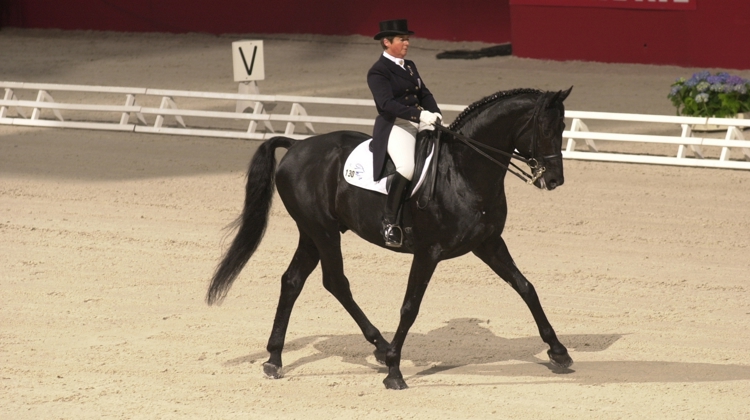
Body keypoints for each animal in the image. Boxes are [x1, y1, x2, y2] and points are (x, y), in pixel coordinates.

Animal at [206, 86, 576, 390]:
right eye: (546, 129)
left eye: (562, 128)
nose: (555, 179)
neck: (462, 171)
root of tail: (297, 145)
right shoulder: (428, 252)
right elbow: (410, 307)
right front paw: (395, 370)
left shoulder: (488, 243)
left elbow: (526, 287)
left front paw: (558, 351)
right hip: (323, 231)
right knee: (335, 282)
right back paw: (381, 349)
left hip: (312, 232)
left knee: (292, 281)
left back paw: (275, 359)